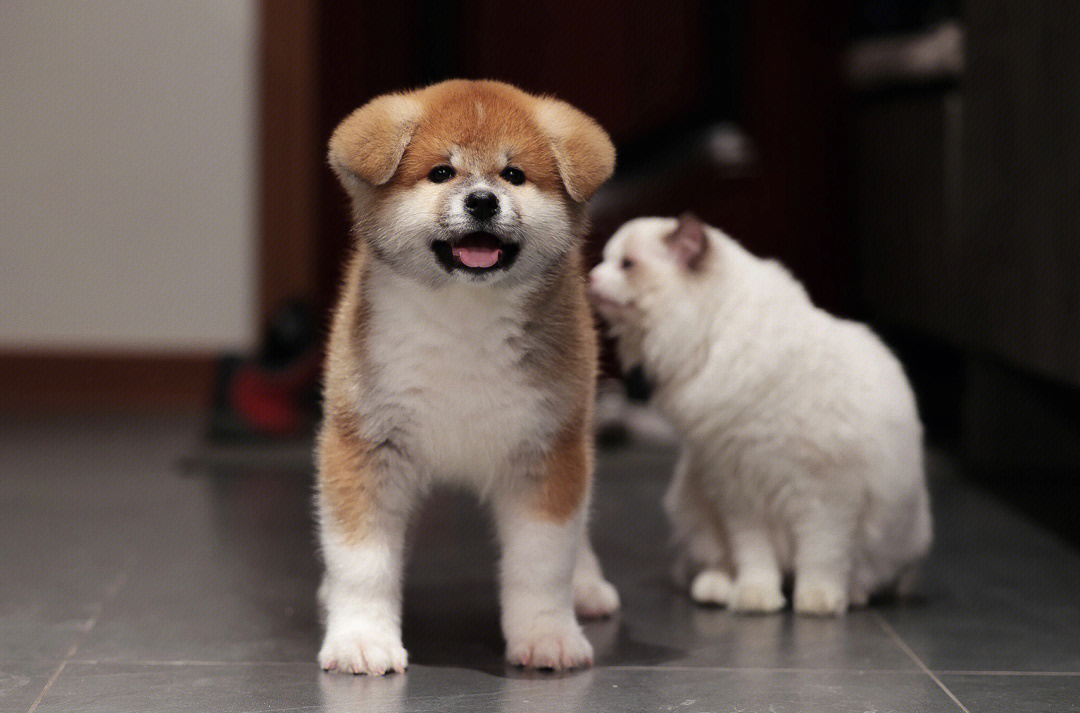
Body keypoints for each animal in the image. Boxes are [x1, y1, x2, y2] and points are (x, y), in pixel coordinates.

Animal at [315, 79, 617, 674]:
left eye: (513, 174)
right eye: (441, 173)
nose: (482, 200)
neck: (464, 321)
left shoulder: (547, 449)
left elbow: (543, 562)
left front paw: (547, 634)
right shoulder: (367, 446)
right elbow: (362, 563)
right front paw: (361, 638)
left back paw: (587, 585)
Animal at [587, 214, 933, 613]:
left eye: (626, 265)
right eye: (606, 259)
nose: (591, 276)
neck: (712, 332)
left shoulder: (826, 498)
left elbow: (822, 558)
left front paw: (817, 601)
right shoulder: (738, 491)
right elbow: (755, 559)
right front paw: (756, 598)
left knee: (870, 576)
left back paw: (852, 596)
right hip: (694, 503)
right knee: (710, 564)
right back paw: (718, 589)